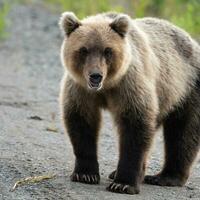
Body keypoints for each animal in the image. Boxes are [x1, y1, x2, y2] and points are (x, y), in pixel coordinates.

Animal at [58, 11, 200, 195]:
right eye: (83, 50)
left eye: (107, 51)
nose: (95, 76)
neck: (108, 86)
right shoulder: (80, 89)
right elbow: (81, 122)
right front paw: (85, 174)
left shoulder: (129, 85)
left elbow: (135, 127)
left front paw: (123, 184)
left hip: (185, 88)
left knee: (183, 132)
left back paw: (165, 177)